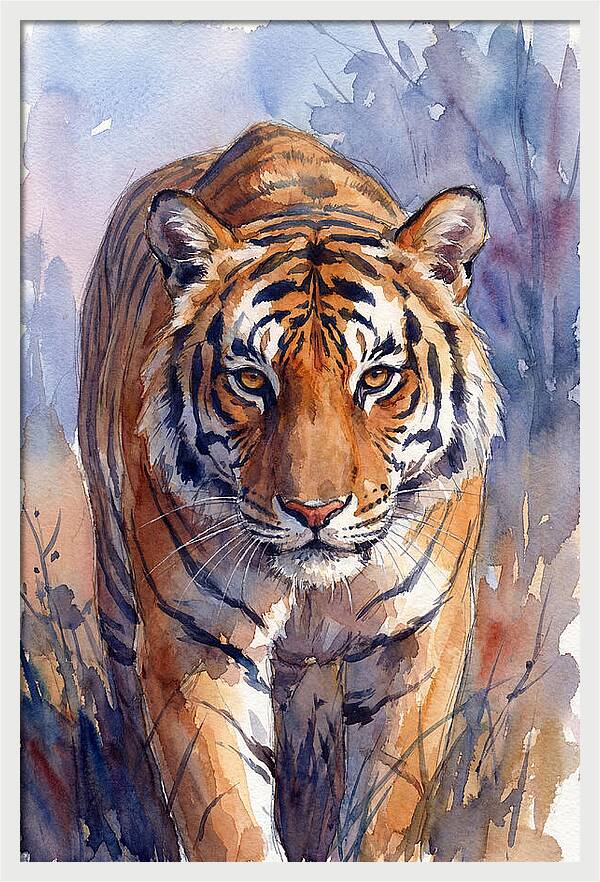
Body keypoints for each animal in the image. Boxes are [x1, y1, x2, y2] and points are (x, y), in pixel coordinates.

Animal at [79, 122, 501, 862]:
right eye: (251, 380)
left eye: (377, 378)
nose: (314, 510)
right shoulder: (196, 641)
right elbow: (226, 821)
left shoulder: (419, 638)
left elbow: (386, 805)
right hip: (116, 581)